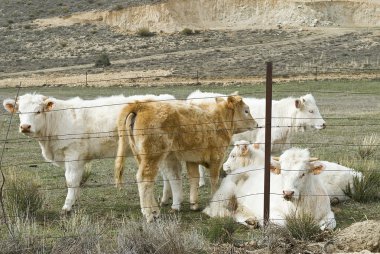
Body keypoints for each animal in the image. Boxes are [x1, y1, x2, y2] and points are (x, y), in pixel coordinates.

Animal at [2, 92, 175, 213]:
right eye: (19, 112)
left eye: (38, 111)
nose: (25, 126)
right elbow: (75, 181)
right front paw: (73, 201)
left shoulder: (73, 154)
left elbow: (71, 180)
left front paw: (67, 207)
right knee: (166, 174)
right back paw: (165, 200)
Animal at [187, 90, 326, 188]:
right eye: (311, 111)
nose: (324, 124)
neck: (280, 117)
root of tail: (196, 95)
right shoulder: (261, 144)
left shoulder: (282, 146)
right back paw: (201, 182)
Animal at [203, 147, 336, 230]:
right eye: (282, 173)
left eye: (303, 174)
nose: (288, 193)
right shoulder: (272, 212)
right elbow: (285, 224)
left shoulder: (328, 213)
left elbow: (328, 225)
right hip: (226, 193)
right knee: (217, 211)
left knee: (237, 211)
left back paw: (250, 220)